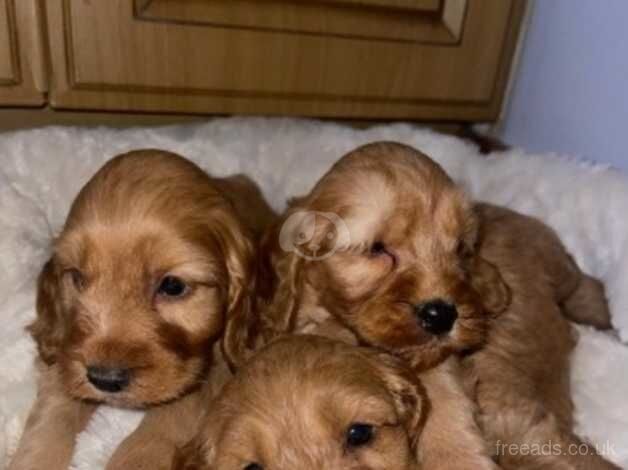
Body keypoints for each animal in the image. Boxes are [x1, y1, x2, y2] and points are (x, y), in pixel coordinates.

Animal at [6, 150, 272, 470]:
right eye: (78, 278)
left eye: (172, 286)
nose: (105, 380)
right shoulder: (68, 349)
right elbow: (54, 409)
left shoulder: (219, 363)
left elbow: (177, 411)